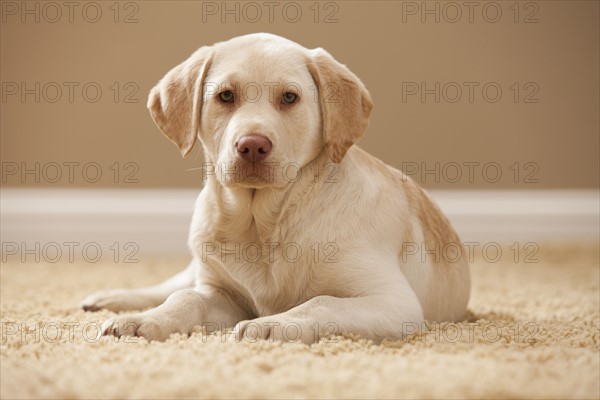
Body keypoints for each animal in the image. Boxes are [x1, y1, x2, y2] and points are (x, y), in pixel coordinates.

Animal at [79, 32, 472, 344]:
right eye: (225, 96)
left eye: (289, 98)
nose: (252, 145)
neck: (265, 224)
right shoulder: (222, 293)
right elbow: (186, 299)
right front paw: (148, 321)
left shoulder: (392, 300)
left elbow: (320, 302)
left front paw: (272, 324)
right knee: (174, 286)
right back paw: (113, 300)